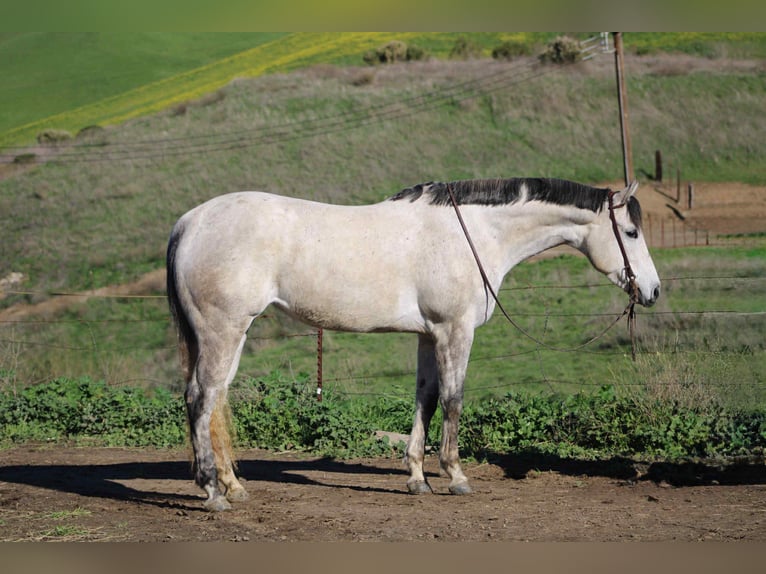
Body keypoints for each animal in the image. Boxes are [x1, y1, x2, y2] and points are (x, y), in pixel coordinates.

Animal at [166, 177, 661, 511]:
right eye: (631, 233)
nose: (653, 291)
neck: (473, 233)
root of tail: (188, 223)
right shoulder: (455, 330)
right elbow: (453, 399)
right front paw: (455, 476)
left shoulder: (428, 334)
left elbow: (425, 398)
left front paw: (418, 478)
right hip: (222, 331)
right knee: (200, 400)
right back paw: (211, 492)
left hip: (231, 335)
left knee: (216, 401)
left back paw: (233, 486)